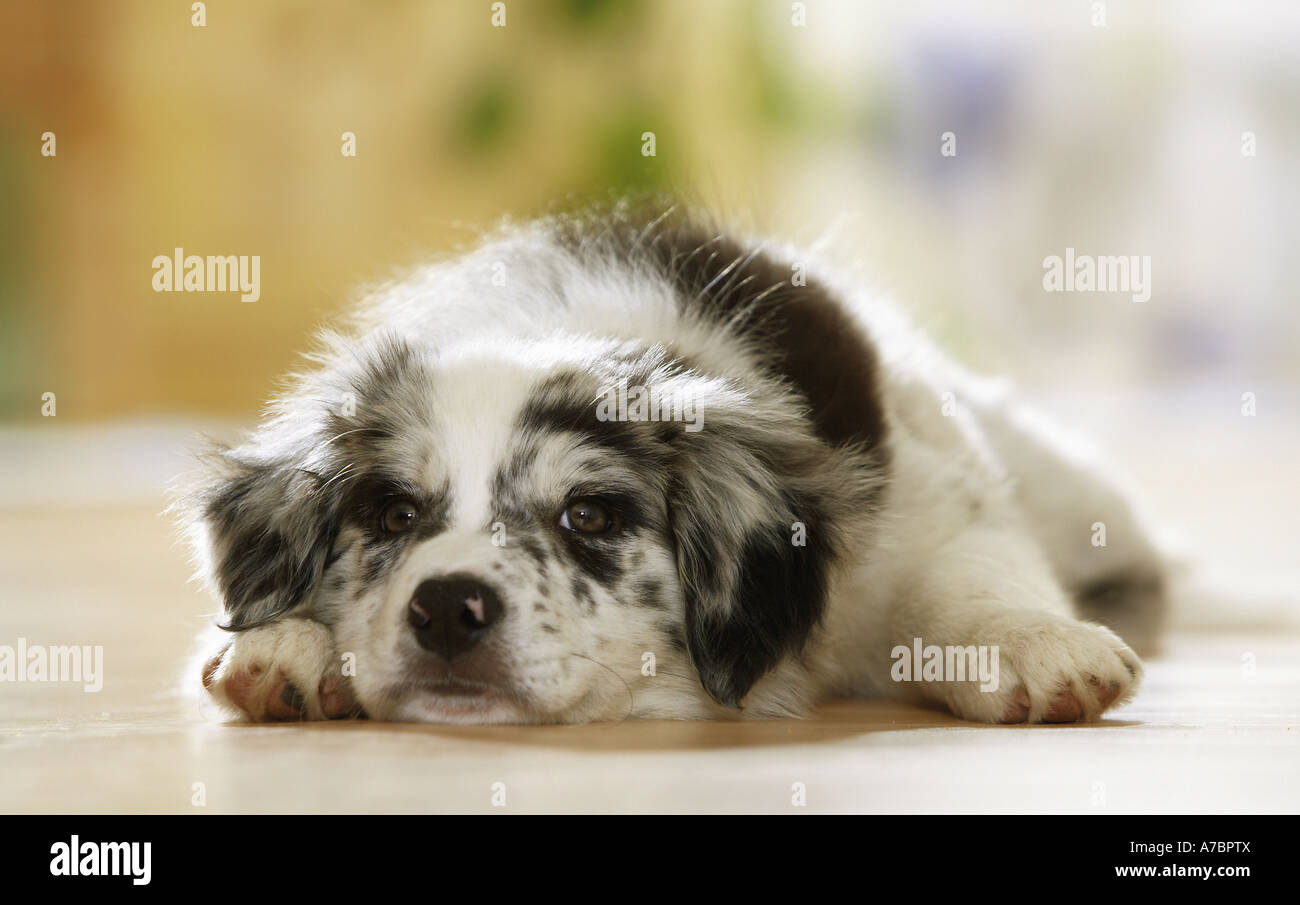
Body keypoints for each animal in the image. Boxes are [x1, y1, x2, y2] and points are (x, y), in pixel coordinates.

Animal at [183, 201, 1170, 722]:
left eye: (589, 515)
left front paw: (1035, 642)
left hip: (1077, 492)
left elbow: (968, 577)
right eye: (393, 515)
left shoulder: (942, 506)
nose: (446, 610)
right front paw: (285, 643)